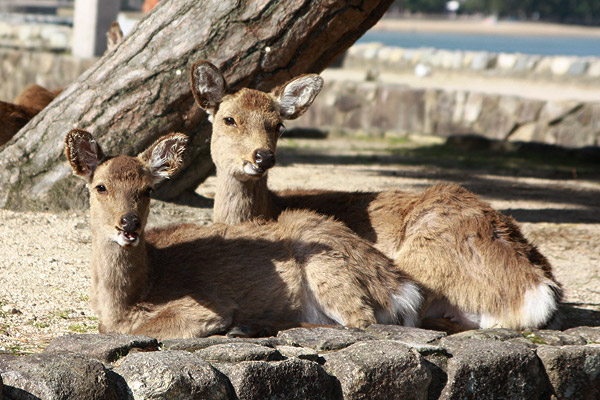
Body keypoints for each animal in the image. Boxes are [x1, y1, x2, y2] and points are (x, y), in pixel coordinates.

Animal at [64, 129, 422, 340]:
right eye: (100, 187)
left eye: (148, 189)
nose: (129, 223)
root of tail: (401, 287)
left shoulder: (205, 305)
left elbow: (142, 331)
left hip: (328, 267)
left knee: (360, 321)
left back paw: (251, 326)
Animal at [191, 60, 564, 332]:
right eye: (229, 119)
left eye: (278, 125)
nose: (262, 157)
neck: (270, 207)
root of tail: (535, 289)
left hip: (426, 257)